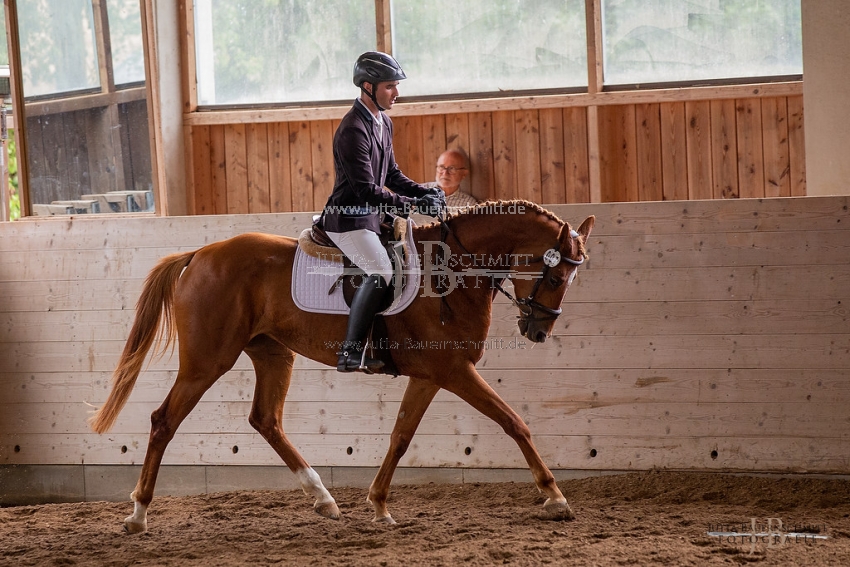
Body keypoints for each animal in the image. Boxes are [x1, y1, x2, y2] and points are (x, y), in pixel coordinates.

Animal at [89, 200, 592, 532]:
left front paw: (379, 504)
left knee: (266, 420)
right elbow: (514, 422)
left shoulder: (431, 376)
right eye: (555, 275)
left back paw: (324, 500)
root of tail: (198, 255)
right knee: (163, 421)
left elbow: (400, 436)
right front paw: (555, 496)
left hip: (273, 354)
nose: (538, 331)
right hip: (207, 361)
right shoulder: (454, 372)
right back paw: (138, 514)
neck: (451, 272)